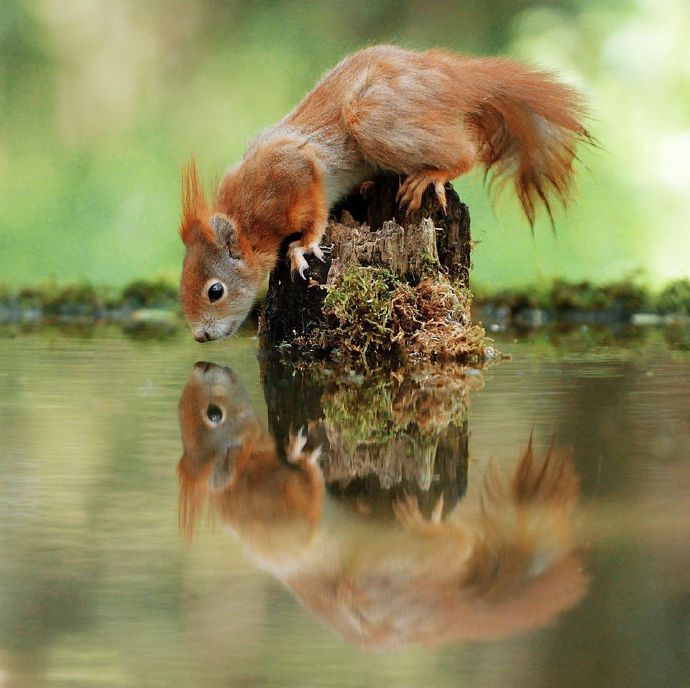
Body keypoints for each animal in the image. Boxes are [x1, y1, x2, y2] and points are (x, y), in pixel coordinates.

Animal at [180, 45, 588, 342]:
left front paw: (302, 247)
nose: (200, 336)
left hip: (375, 120)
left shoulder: (294, 170)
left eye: (215, 291)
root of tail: (449, 76)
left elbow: (316, 209)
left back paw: (431, 175)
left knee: (466, 152)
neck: (248, 221)